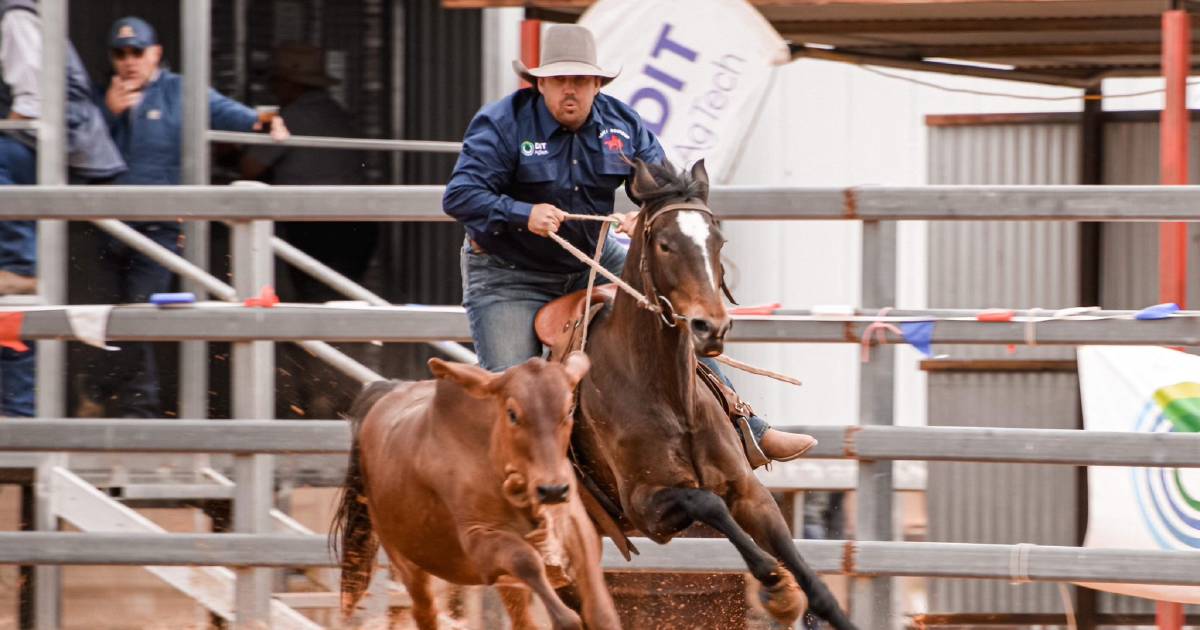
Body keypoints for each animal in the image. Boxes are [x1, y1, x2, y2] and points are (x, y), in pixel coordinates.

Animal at [568, 158, 859, 628]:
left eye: (717, 240)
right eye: (664, 244)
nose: (711, 327)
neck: (670, 400)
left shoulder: (749, 491)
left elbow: (810, 577)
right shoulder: (646, 509)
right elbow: (707, 502)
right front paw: (776, 586)